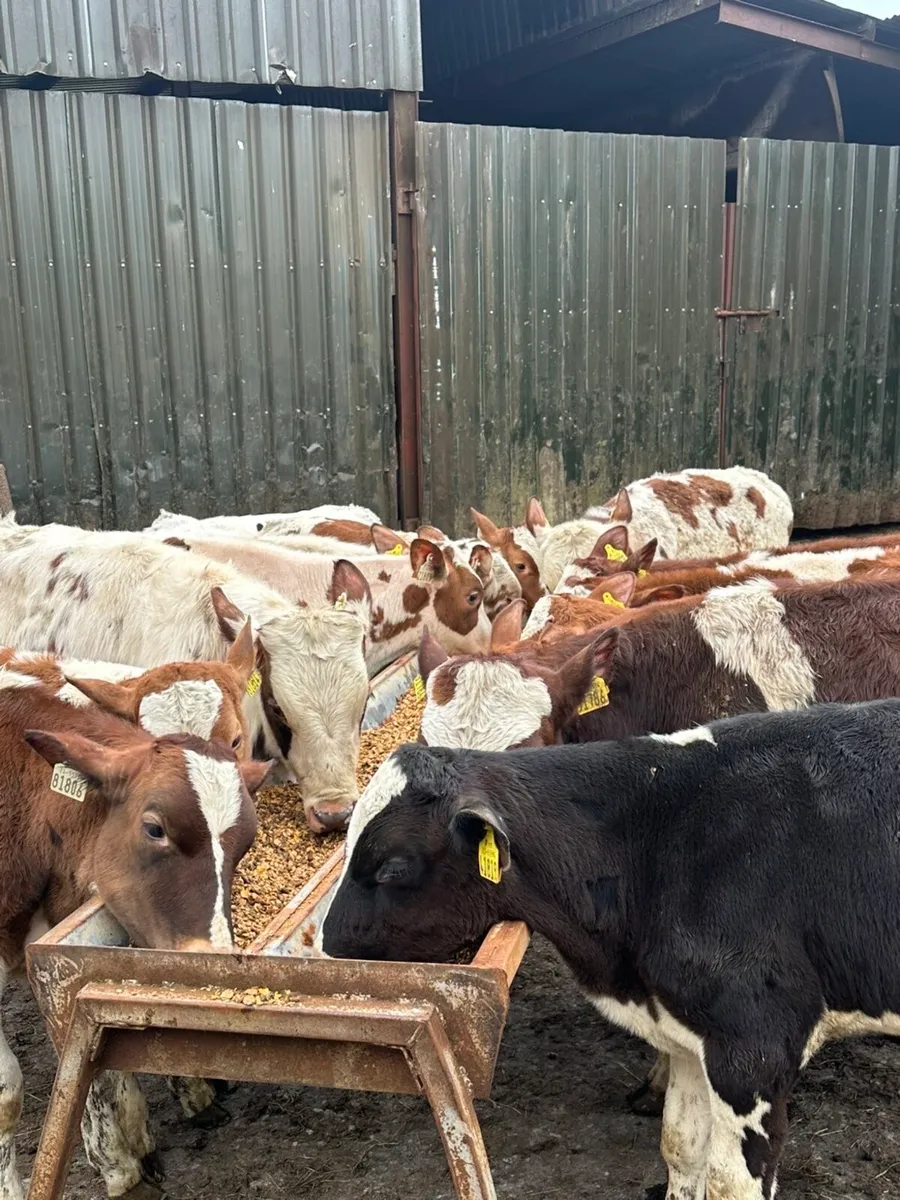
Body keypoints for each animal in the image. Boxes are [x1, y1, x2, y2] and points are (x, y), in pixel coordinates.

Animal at [318, 699, 900, 1200]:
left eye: (392, 868)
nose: (325, 944)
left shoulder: (754, 1048)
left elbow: (729, 1183)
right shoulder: (688, 1035)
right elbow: (680, 1147)